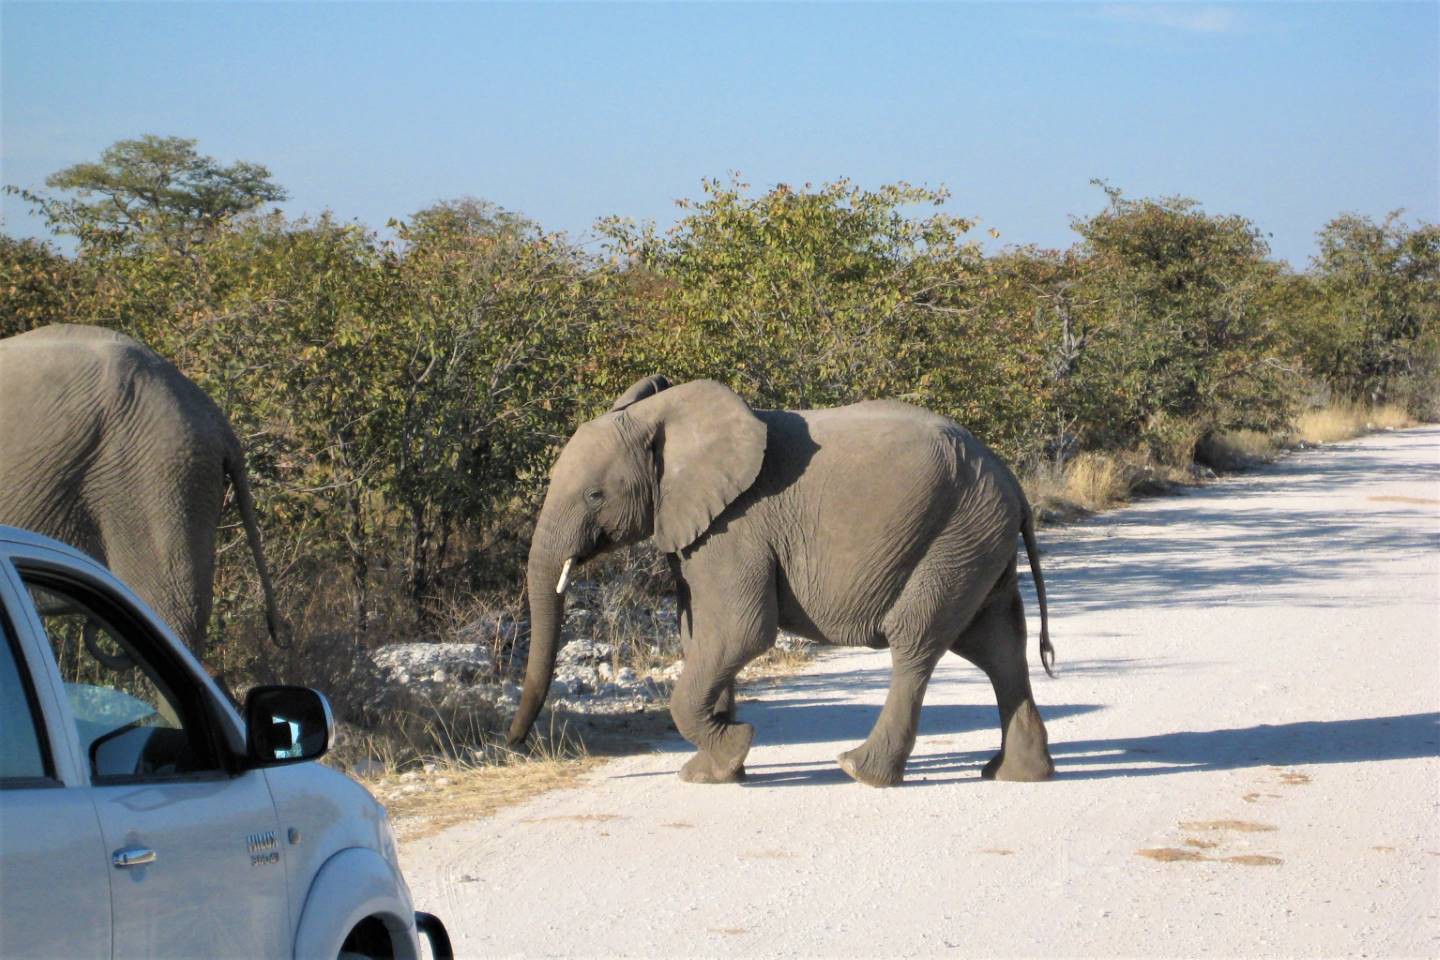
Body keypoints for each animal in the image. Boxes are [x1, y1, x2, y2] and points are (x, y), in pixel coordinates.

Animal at [509, 374, 1059, 788]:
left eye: (595, 495)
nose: (515, 745)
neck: (662, 416)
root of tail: (1012, 484)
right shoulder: (698, 529)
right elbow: (698, 635)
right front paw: (714, 773)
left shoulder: (737, 527)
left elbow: (740, 632)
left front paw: (732, 749)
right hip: (976, 541)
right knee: (997, 645)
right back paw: (1015, 774)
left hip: (955, 535)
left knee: (917, 641)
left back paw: (860, 770)